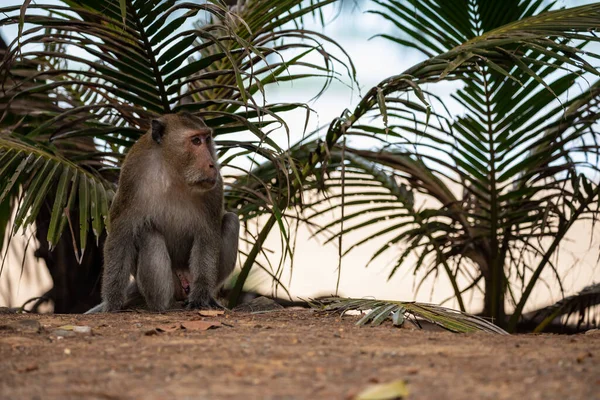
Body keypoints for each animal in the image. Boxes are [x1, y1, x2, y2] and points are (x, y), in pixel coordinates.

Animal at [86, 111, 239, 312]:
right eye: (195, 141)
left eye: (207, 139)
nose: (212, 164)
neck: (174, 172)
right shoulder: (131, 176)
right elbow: (121, 235)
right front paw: (112, 303)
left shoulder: (215, 188)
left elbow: (207, 236)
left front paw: (200, 297)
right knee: (146, 232)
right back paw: (162, 305)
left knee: (231, 221)